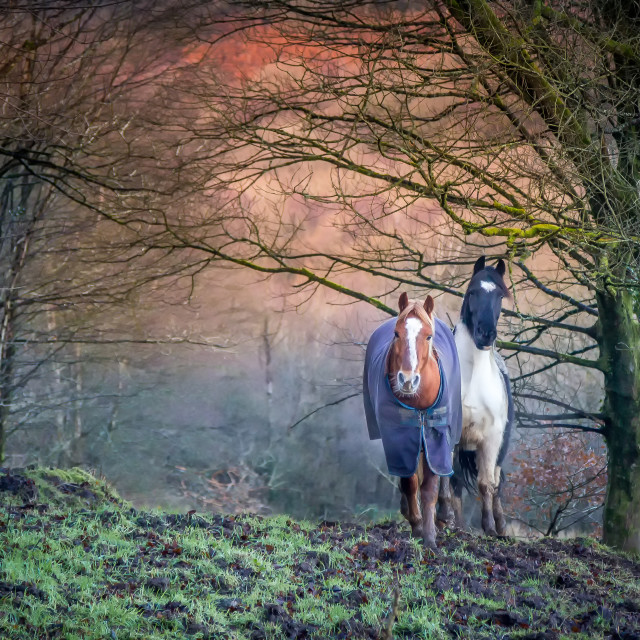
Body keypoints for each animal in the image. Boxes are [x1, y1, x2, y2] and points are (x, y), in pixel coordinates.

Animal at [362, 292, 462, 548]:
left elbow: (430, 487)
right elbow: (410, 482)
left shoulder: (435, 436)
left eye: (428, 336)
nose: (407, 381)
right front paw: (417, 524)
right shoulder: (399, 436)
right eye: (397, 333)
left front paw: (430, 537)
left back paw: (445, 515)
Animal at [440, 255, 516, 536]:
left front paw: (490, 528)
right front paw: (447, 520)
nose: (486, 334)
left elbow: (486, 484)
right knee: (456, 482)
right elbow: (448, 480)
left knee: (495, 480)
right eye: (473, 292)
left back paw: (501, 527)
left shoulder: (492, 438)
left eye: (500, 296)